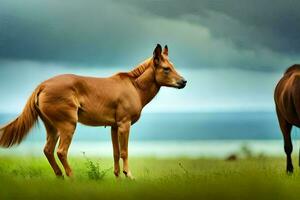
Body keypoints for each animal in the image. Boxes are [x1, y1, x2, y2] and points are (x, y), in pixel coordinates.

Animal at [0, 44, 186, 178]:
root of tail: (42, 85)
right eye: (166, 68)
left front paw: (118, 178)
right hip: (68, 125)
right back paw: (71, 177)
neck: (135, 87)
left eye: (173, 66)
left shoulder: (114, 127)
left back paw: (60, 176)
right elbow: (124, 152)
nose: (184, 81)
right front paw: (129, 175)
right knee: (61, 151)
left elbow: (115, 153)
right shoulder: (124, 125)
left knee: (48, 150)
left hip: (52, 127)